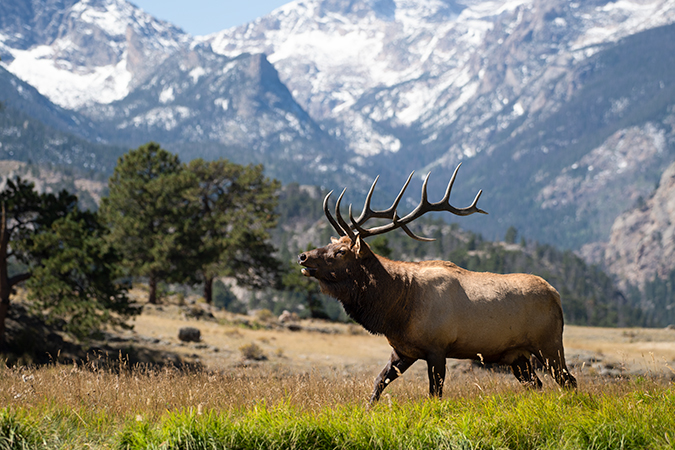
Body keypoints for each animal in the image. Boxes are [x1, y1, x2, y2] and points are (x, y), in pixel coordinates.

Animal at [298, 163, 580, 402]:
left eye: (340, 253)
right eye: (331, 244)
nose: (303, 256)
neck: (396, 308)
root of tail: (556, 294)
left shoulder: (437, 348)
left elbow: (435, 394)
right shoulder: (404, 350)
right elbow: (378, 383)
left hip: (549, 344)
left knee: (569, 380)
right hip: (518, 356)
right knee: (538, 384)